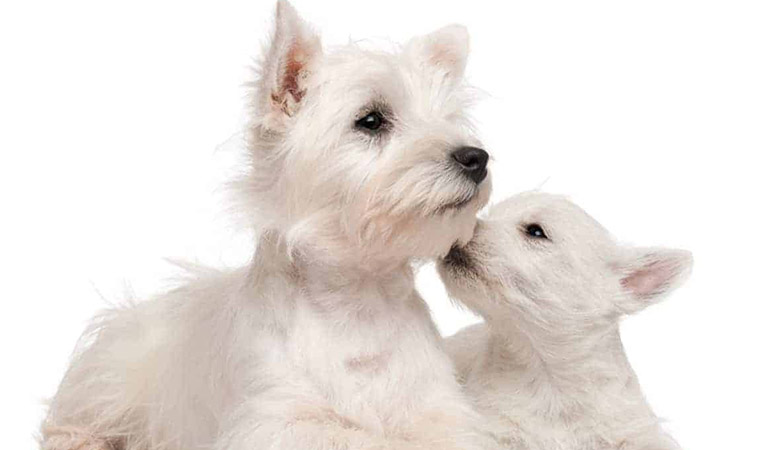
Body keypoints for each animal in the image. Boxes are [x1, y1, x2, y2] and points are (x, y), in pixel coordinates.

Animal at [41, 1, 492, 448]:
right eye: (371, 120)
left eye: (448, 119)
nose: (476, 157)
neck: (359, 305)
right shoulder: (279, 420)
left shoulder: (441, 409)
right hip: (117, 371)